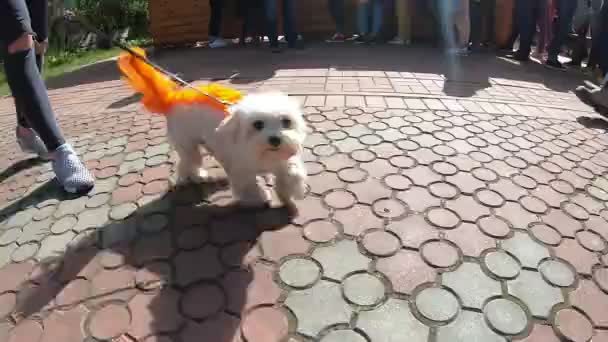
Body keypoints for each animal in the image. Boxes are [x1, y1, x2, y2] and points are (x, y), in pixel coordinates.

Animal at [165, 92, 308, 207]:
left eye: (286, 121)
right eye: (258, 124)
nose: (275, 139)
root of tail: (177, 95)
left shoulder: (282, 159)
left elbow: (293, 173)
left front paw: (288, 191)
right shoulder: (241, 170)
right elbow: (248, 184)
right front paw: (259, 197)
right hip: (188, 144)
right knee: (188, 162)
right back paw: (194, 177)